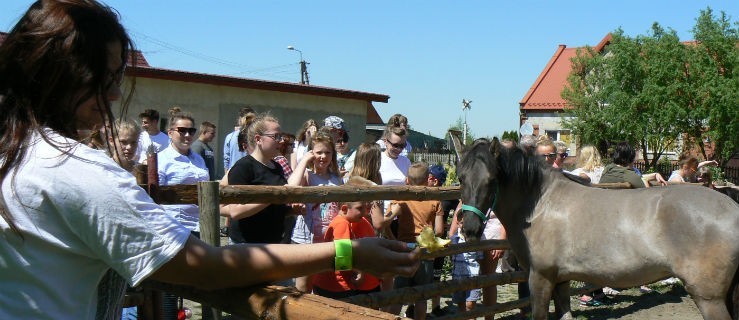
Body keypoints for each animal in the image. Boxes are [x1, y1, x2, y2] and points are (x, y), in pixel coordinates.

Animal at [456, 138, 739, 320]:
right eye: (460, 177)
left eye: (492, 179)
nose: (469, 228)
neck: (542, 204)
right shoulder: (561, 280)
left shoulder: (540, 278)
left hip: (709, 298)